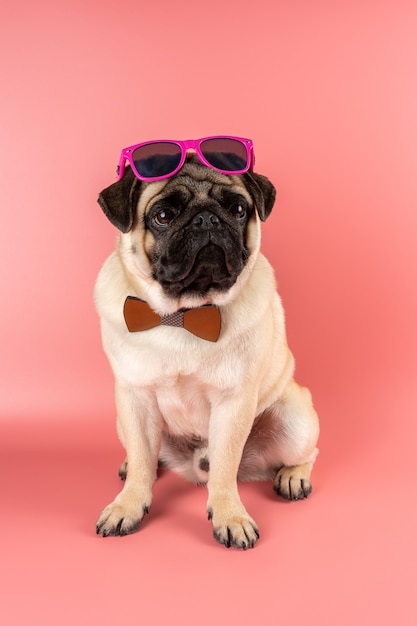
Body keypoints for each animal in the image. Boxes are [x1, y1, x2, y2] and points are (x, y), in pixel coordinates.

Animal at [94, 146, 318, 544]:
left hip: (295, 417)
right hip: (124, 420)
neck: (184, 313)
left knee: (307, 452)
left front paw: (230, 516)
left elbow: (225, 468)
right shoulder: (134, 398)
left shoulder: (233, 403)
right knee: (147, 458)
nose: (207, 219)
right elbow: (142, 461)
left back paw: (294, 476)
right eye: (163, 216)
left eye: (239, 209)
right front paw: (127, 506)